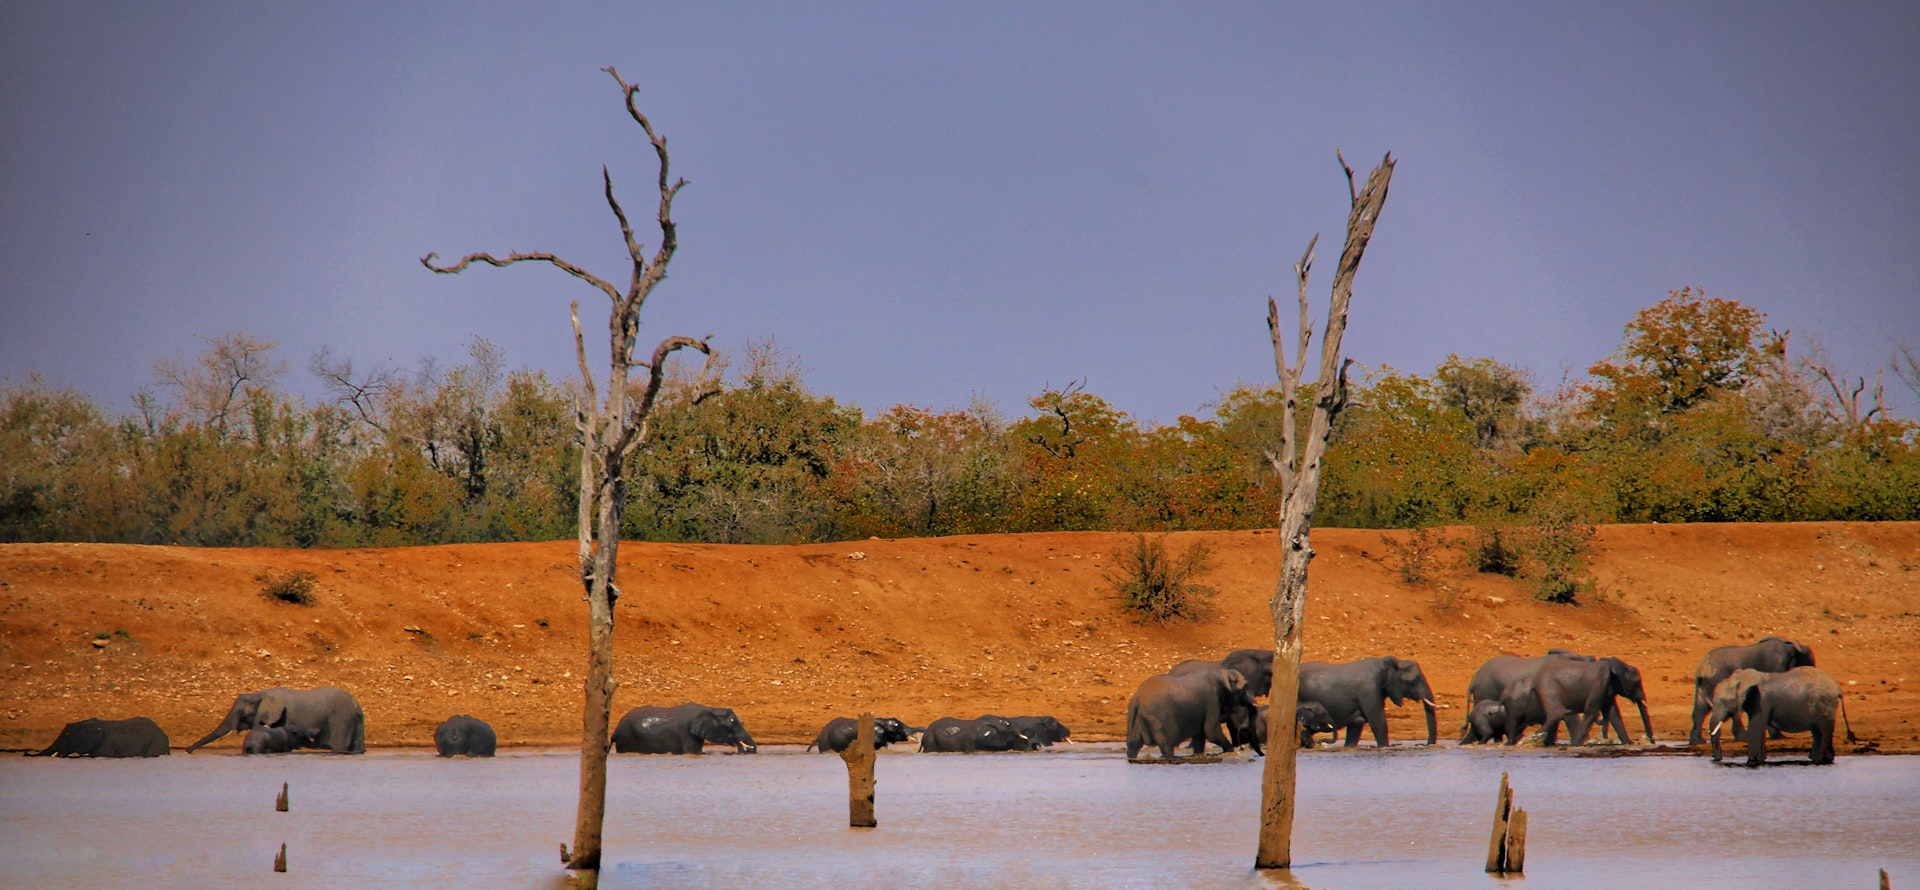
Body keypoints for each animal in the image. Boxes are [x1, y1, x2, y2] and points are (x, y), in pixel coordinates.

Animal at [188, 686, 365, 754]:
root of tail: (356, 705)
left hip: (341, 719)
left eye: (241, 712)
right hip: (355, 721)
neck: (259, 694)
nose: (188, 751)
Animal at [1125, 667, 1253, 758]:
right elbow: (1211, 731)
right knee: (1167, 746)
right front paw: (1230, 752)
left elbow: (1201, 734)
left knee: (1133, 744)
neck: (1223, 673)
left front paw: (1198, 756)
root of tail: (1137, 698)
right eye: (1245, 688)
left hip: (1135, 716)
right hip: (1157, 718)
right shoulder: (1212, 700)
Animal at [1298, 656, 1439, 747]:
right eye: (1413, 681)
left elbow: (1357, 724)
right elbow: (1378, 721)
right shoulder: (1369, 690)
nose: (1422, 745)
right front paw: (1384, 747)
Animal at [1689, 637, 1817, 745]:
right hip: (1717, 680)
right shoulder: (1776, 668)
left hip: (1704, 685)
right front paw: (1778, 737)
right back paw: (1744, 738)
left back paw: (1698, 741)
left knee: (1700, 711)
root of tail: (1703, 668)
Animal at [1708, 667, 1848, 765]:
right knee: (1817, 732)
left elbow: (1756, 728)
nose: (1717, 759)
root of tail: (1837, 689)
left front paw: (1753, 761)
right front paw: (1759, 760)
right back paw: (1816, 758)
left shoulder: (1762, 701)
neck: (1741, 678)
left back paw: (1821, 760)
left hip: (1825, 704)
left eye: (1724, 701)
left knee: (1823, 731)